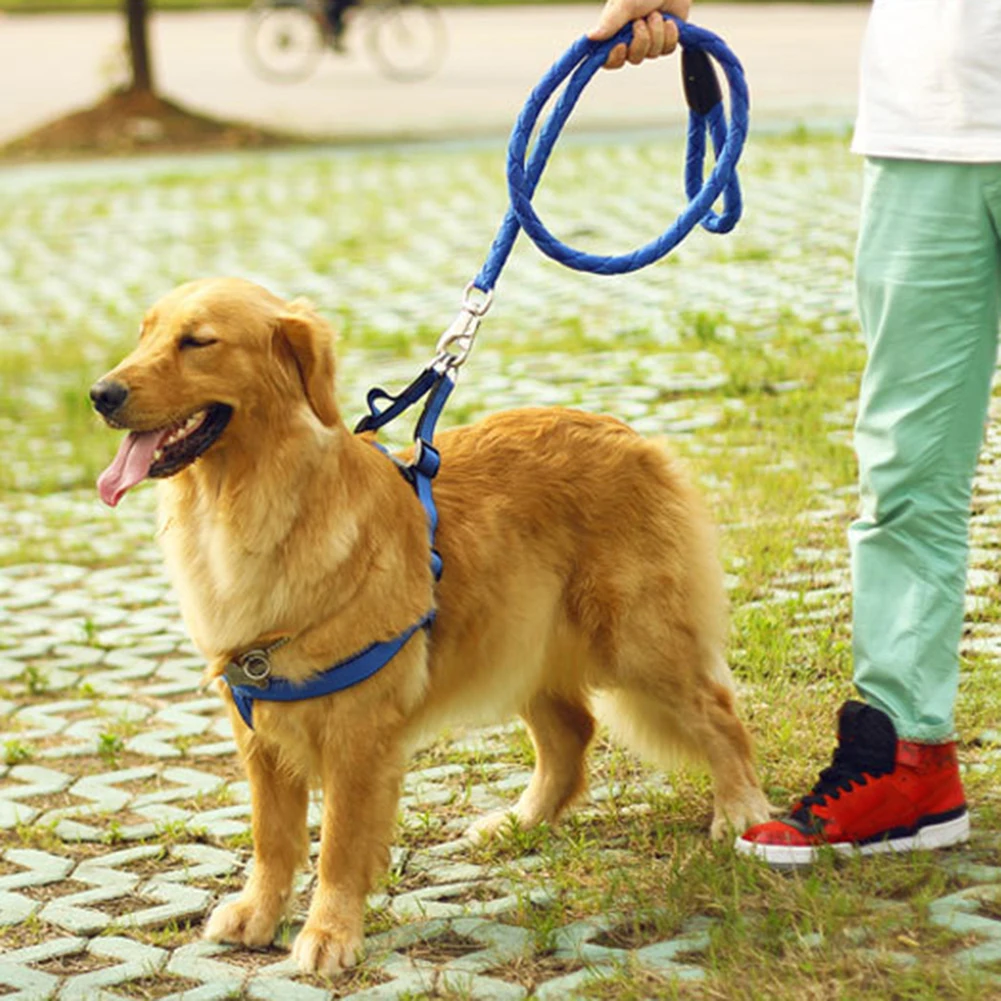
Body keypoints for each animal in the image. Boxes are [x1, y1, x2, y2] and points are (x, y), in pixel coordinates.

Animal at [90, 278, 768, 972]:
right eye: (145, 334)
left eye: (197, 341)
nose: (101, 394)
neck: (250, 501)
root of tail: (633, 437)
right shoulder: (256, 720)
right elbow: (272, 837)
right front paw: (259, 912)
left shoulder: (357, 730)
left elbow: (339, 845)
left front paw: (329, 932)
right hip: (515, 637)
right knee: (572, 734)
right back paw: (521, 820)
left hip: (638, 640)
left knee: (718, 716)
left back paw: (742, 811)